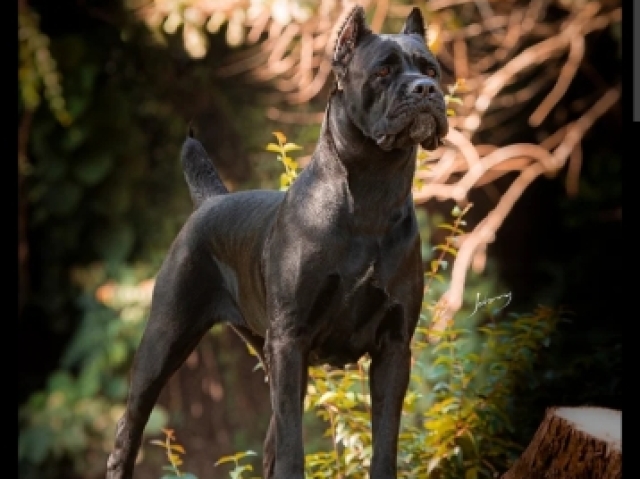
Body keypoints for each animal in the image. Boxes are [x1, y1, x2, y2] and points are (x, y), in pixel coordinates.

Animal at [106, 4, 444, 479]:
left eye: (431, 69)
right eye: (383, 71)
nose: (426, 89)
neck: (373, 194)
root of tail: (211, 201)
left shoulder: (394, 345)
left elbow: (384, 441)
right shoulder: (290, 339)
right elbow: (291, 446)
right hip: (164, 340)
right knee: (129, 427)